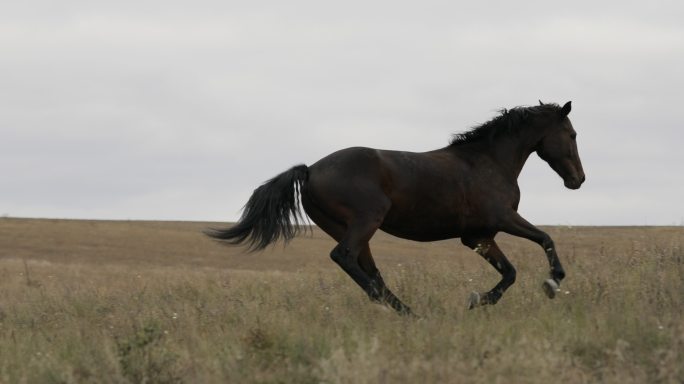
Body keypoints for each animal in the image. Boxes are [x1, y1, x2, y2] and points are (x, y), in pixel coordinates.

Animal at [207, 102, 584, 316]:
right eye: (572, 134)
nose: (578, 179)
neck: (488, 161)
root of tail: (311, 169)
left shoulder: (479, 237)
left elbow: (509, 272)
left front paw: (477, 301)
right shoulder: (503, 219)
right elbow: (544, 239)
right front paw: (552, 283)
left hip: (348, 227)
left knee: (368, 269)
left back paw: (403, 310)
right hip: (365, 221)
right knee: (345, 258)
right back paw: (400, 309)